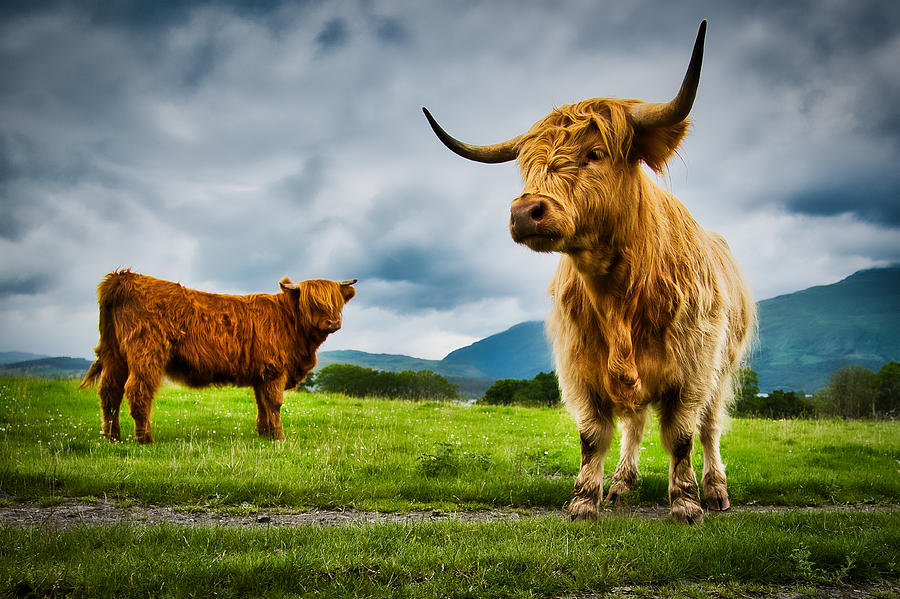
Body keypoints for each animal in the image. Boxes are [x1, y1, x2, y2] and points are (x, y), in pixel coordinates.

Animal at [80, 272, 356, 446]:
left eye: (337, 302)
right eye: (313, 302)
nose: (333, 322)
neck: (288, 320)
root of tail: (123, 277)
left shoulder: (262, 373)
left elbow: (262, 404)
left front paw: (264, 434)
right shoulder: (275, 370)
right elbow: (275, 403)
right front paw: (279, 437)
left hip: (114, 354)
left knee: (110, 392)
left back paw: (113, 437)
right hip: (146, 353)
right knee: (138, 390)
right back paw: (144, 438)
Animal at [426, 21, 756, 524]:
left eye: (596, 153)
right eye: (527, 164)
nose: (525, 212)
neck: (620, 289)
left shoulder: (693, 367)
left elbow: (681, 434)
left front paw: (685, 503)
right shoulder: (580, 365)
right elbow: (592, 434)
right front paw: (584, 499)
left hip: (722, 371)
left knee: (710, 428)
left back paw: (716, 490)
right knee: (635, 425)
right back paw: (621, 484)